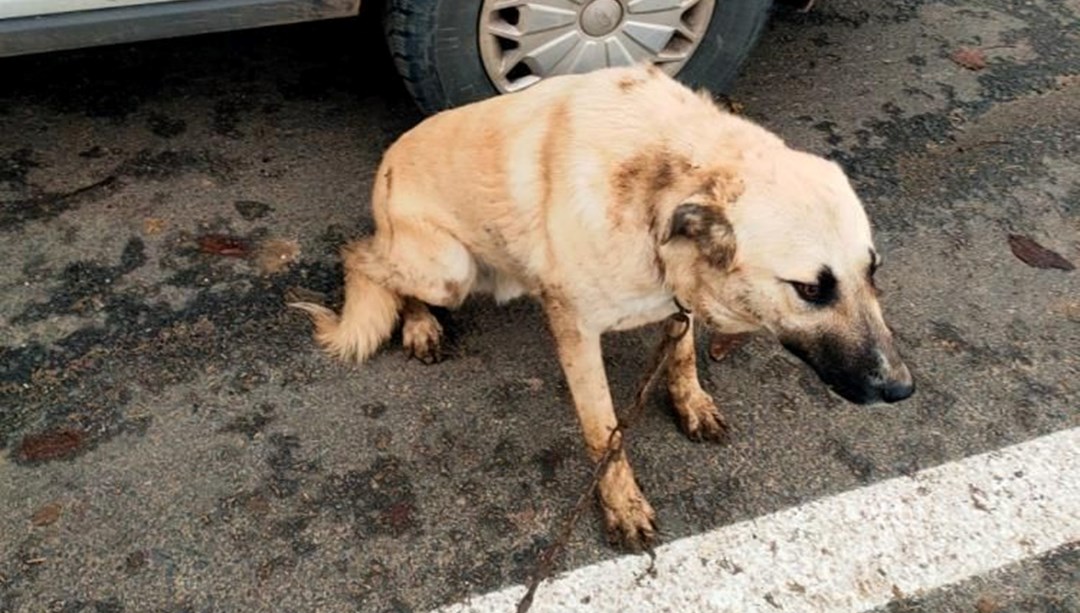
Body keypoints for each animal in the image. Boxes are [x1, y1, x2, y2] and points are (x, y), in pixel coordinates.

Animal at [293, 64, 911, 548]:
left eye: (873, 271)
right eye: (811, 289)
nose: (901, 390)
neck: (661, 180)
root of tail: (385, 164)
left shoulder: (678, 297)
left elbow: (682, 353)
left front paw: (690, 401)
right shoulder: (577, 333)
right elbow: (605, 434)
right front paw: (622, 505)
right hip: (447, 268)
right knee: (365, 259)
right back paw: (418, 321)